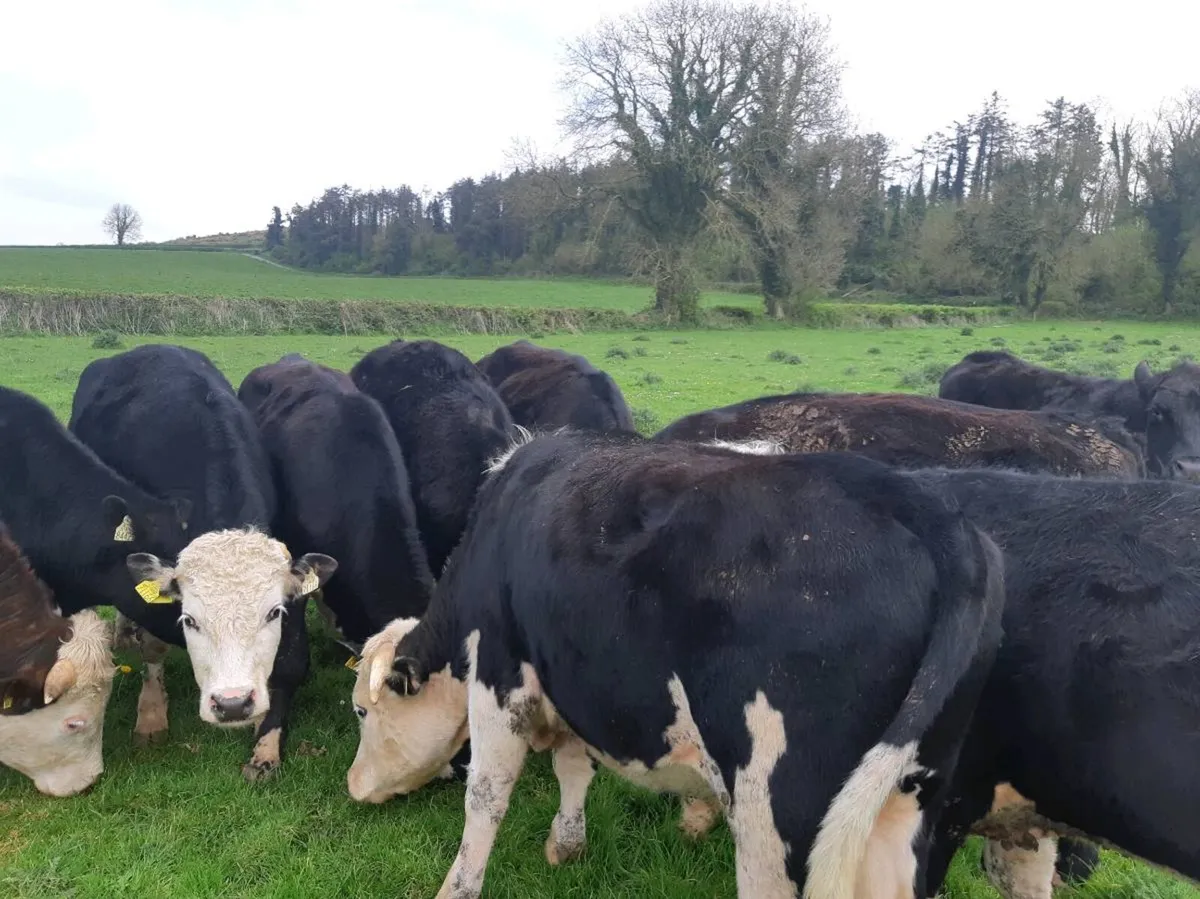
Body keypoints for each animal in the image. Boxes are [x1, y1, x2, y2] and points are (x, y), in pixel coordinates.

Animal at [69, 344, 299, 780]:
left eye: (274, 613)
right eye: (189, 619)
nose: (232, 705)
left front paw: (266, 744)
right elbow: (153, 644)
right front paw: (151, 716)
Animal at [345, 431, 1006, 899]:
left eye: (361, 712)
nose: (353, 787)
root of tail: (916, 502)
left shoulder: (501, 677)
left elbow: (486, 796)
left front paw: (456, 887)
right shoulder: (577, 675)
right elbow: (573, 765)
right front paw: (567, 846)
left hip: (779, 818)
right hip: (905, 802)